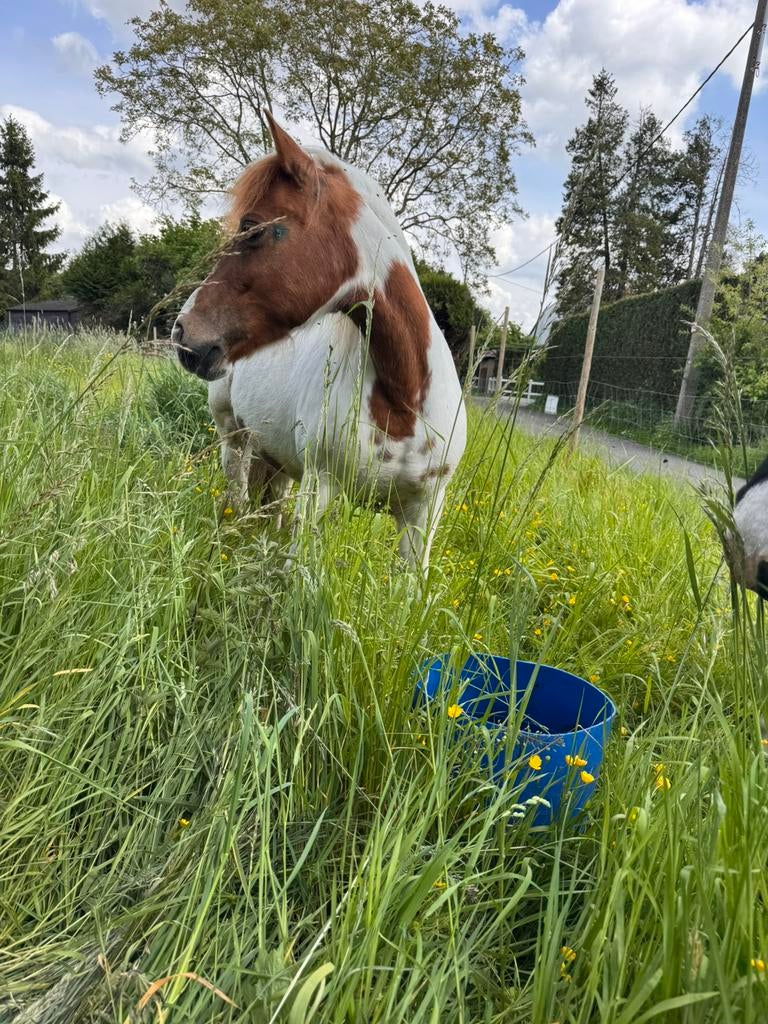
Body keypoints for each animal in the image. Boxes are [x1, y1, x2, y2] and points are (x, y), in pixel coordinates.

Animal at [172, 114, 467, 569]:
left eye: (252, 228)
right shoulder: (320, 487)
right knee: (238, 497)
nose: (184, 333)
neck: (406, 397)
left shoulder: (423, 514)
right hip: (234, 439)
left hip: (275, 458)